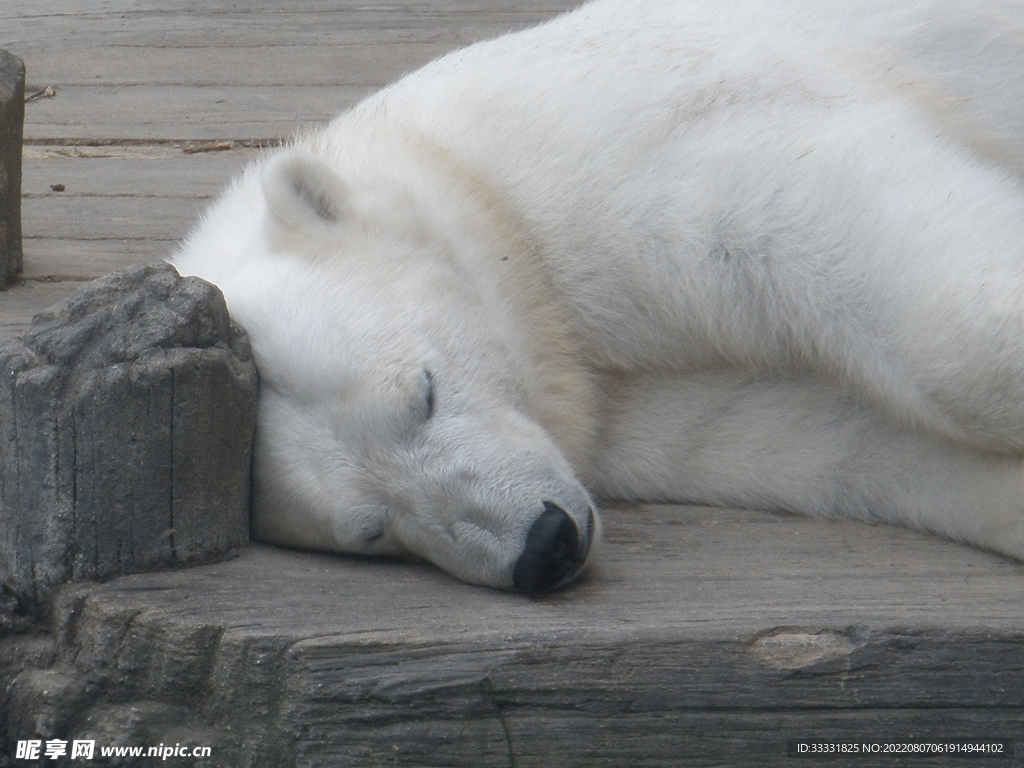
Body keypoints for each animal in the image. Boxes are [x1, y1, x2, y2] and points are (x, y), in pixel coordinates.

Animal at [176, 0, 1024, 593]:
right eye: (374, 532)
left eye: (423, 392)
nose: (544, 548)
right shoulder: (618, 398)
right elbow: (811, 432)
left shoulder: (651, 147)